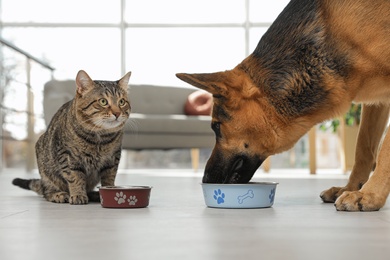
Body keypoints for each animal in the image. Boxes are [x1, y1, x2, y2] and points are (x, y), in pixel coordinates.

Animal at [12, 70, 132, 204]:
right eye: (103, 101)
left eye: (122, 102)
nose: (117, 113)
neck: (100, 137)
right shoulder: (67, 156)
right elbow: (75, 177)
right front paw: (78, 194)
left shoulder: (113, 158)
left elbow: (109, 178)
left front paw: (109, 192)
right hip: (45, 170)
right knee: (46, 191)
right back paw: (58, 194)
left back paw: (94, 194)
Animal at [177, 0, 390, 211]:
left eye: (216, 127)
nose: (206, 179)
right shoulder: (377, 102)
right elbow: (363, 147)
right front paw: (352, 188)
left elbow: (384, 151)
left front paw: (369, 195)